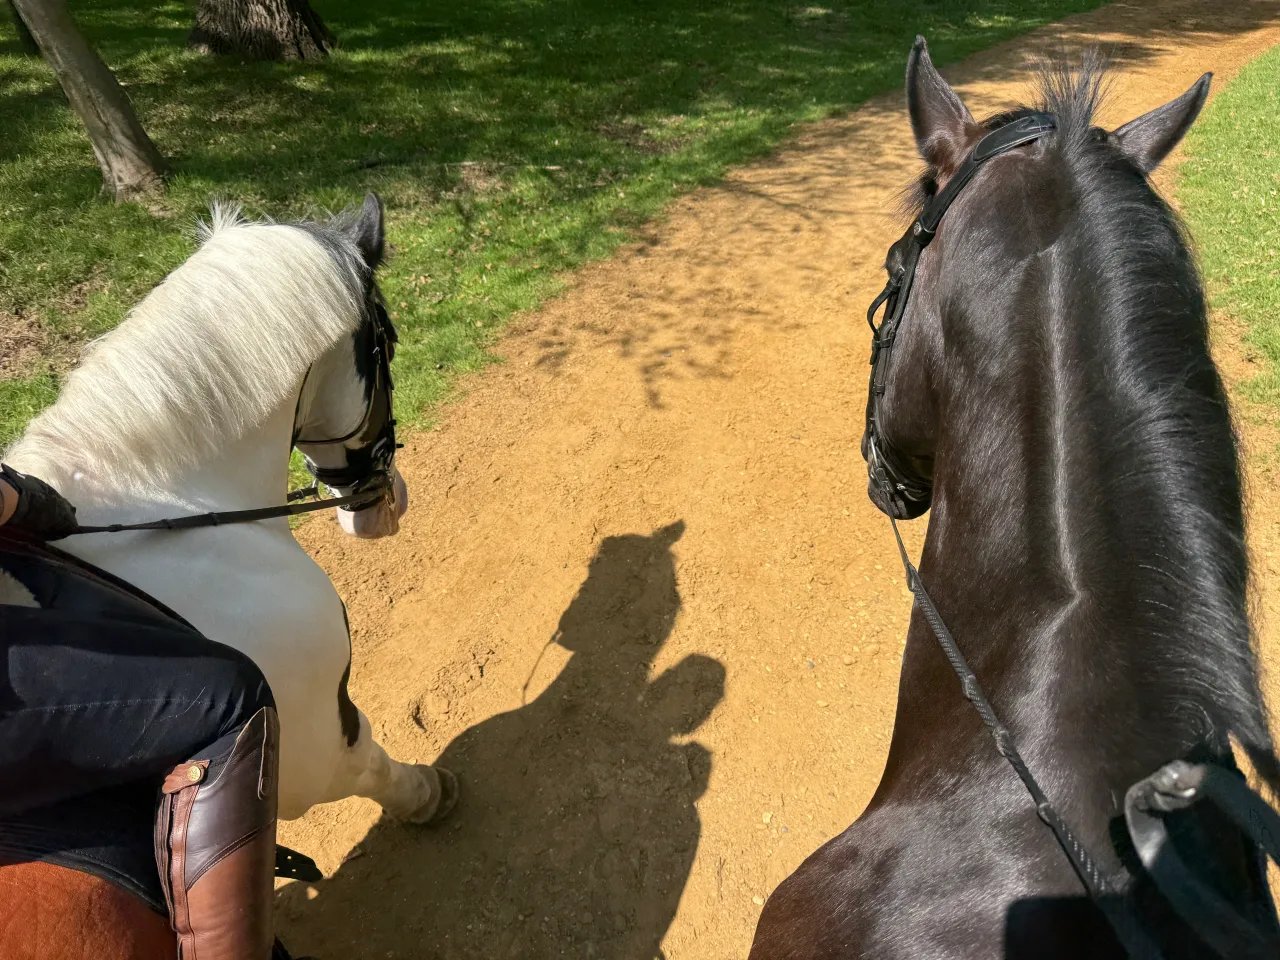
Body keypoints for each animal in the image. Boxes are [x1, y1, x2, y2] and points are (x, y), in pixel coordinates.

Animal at [0, 194, 451, 956]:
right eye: (385, 342)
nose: (388, 502)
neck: (167, 504)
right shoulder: (308, 738)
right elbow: (371, 762)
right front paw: (426, 794)